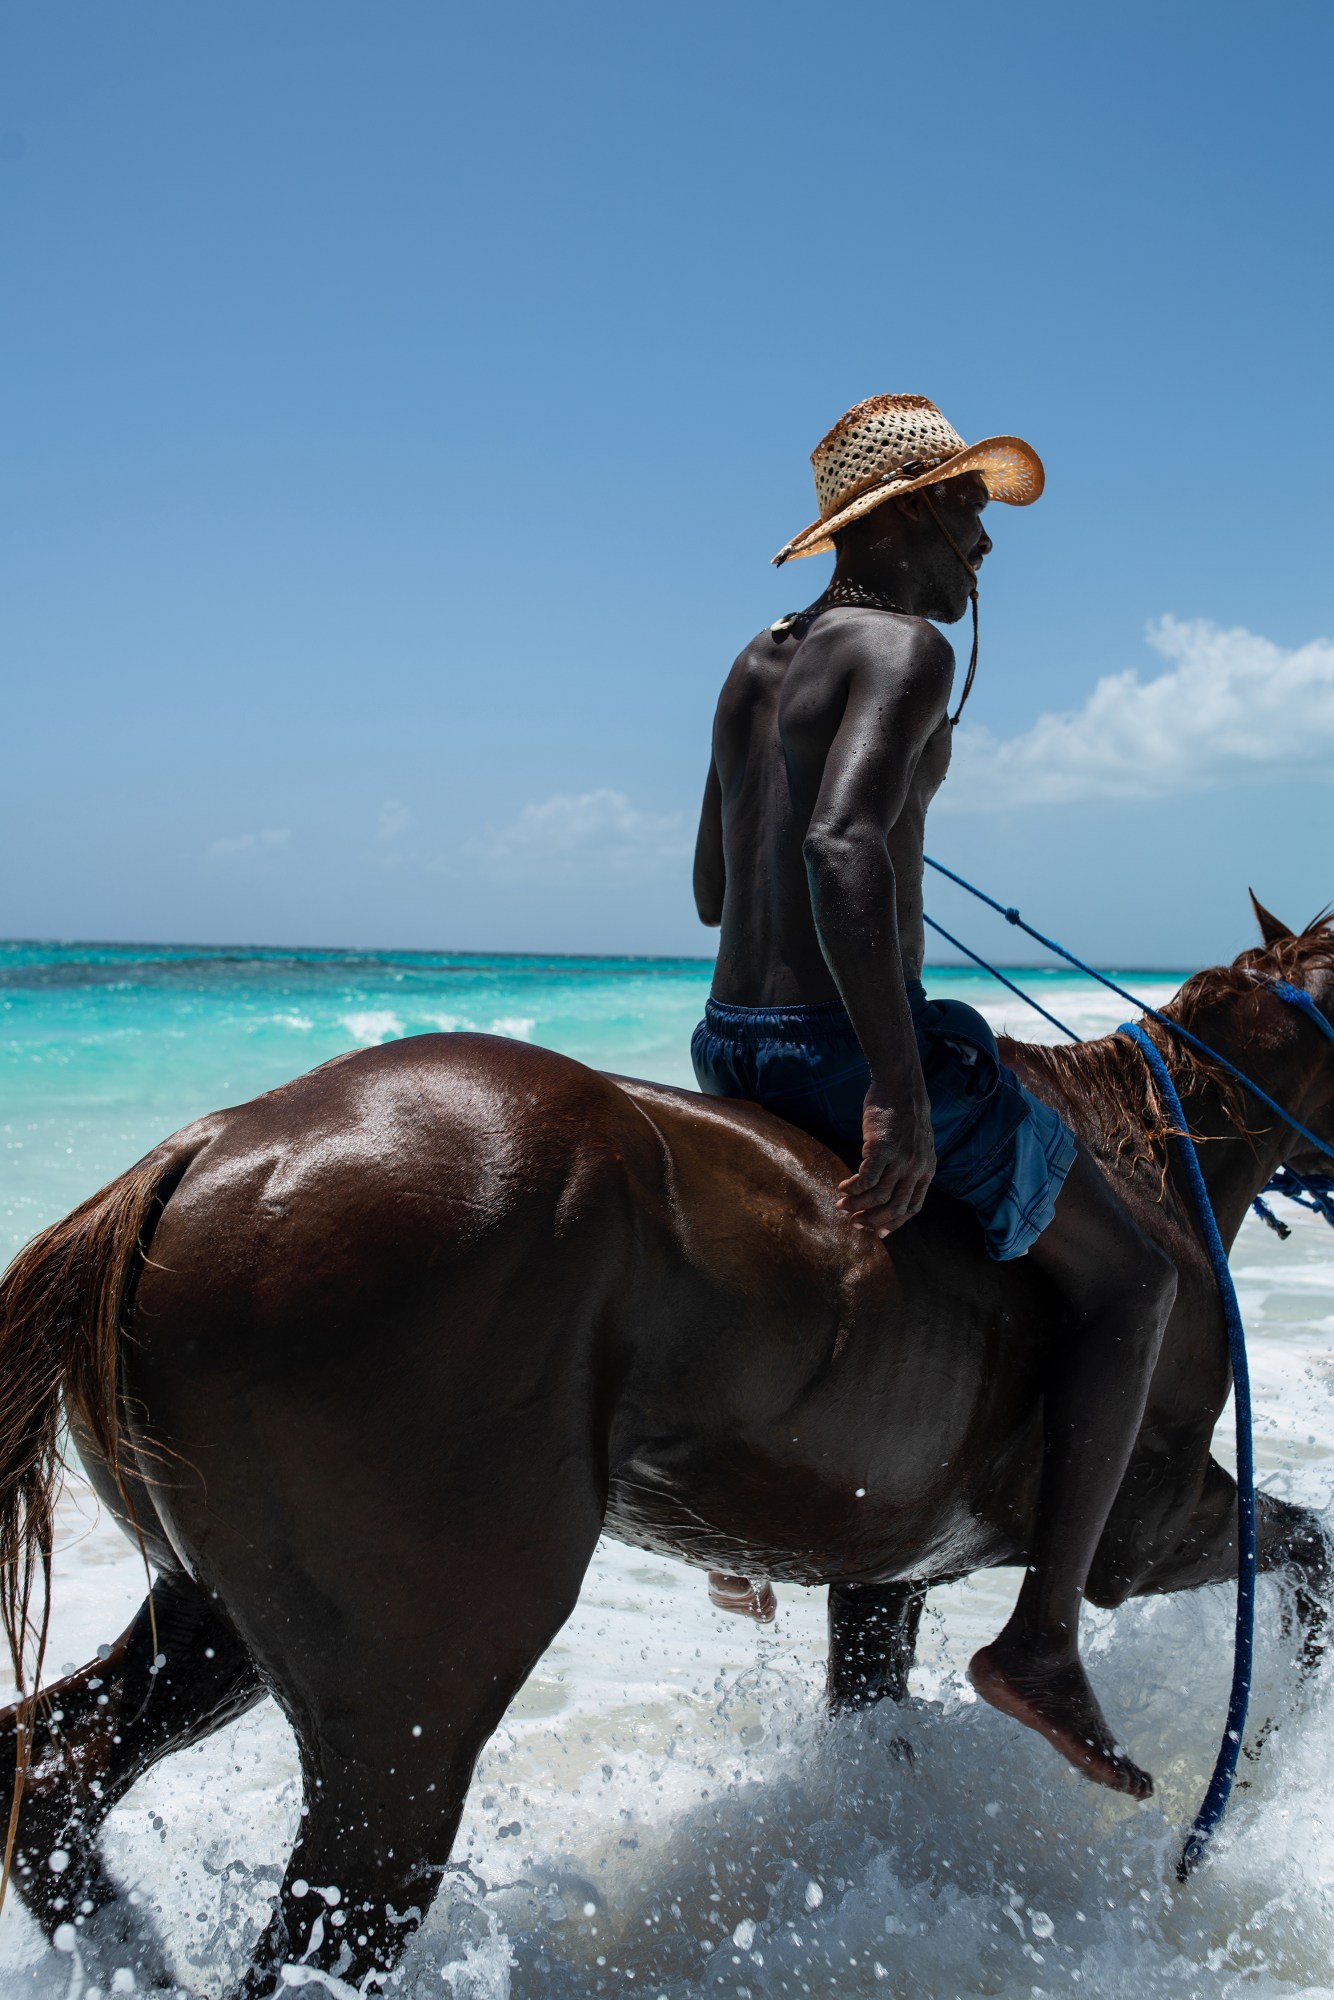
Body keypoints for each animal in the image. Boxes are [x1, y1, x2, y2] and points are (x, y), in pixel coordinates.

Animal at [0, 908, 1328, 2000]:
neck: (1147, 1158)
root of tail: (206, 1148)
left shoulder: (886, 1576)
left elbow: (876, 1735)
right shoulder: (1143, 1528)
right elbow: (1308, 1549)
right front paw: (1259, 1772)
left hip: (213, 1616)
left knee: (54, 1768)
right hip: (403, 1719)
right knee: (328, 1920)